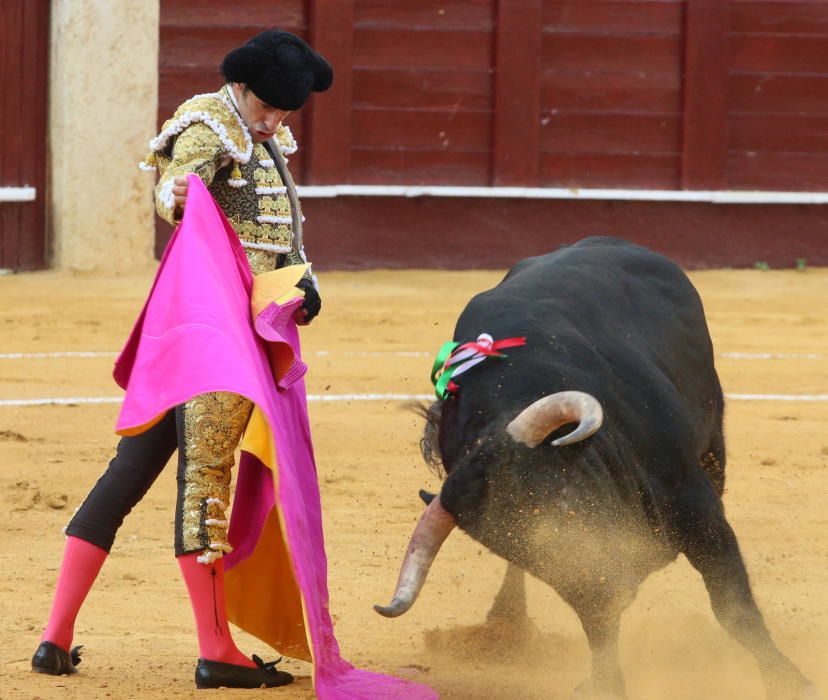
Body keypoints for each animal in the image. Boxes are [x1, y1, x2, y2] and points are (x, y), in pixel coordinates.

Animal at [376, 238, 816, 696]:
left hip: (714, 447)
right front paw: (605, 683)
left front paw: (791, 681)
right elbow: (599, 626)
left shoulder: (697, 507)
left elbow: (733, 606)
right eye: (513, 542)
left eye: (562, 492)